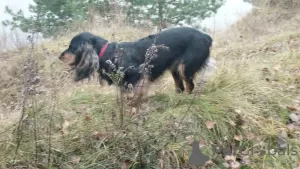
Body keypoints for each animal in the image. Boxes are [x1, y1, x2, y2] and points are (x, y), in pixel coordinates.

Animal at [59, 27, 213, 101]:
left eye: (71, 48)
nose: (60, 56)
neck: (109, 53)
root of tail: (205, 36)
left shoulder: (137, 76)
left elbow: (132, 96)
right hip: (174, 68)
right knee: (180, 86)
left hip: (185, 67)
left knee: (189, 86)